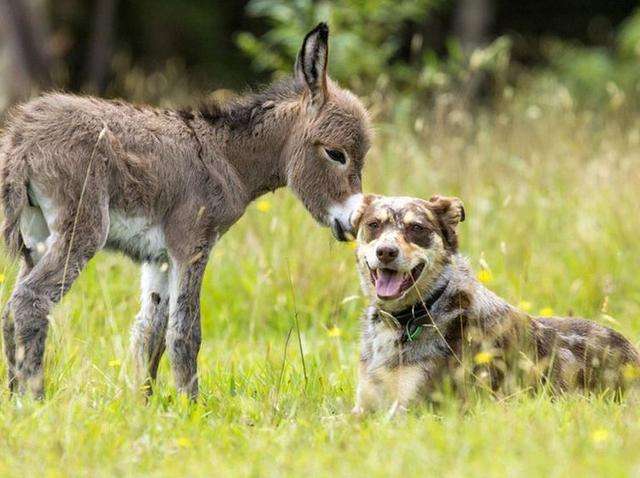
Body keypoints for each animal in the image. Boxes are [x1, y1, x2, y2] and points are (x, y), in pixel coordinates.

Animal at [350, 194, 640, 414]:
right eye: (374, 225)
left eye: (416, 228)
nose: (386, 252)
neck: (408, 318)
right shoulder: (362, 406)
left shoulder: (411, 407)